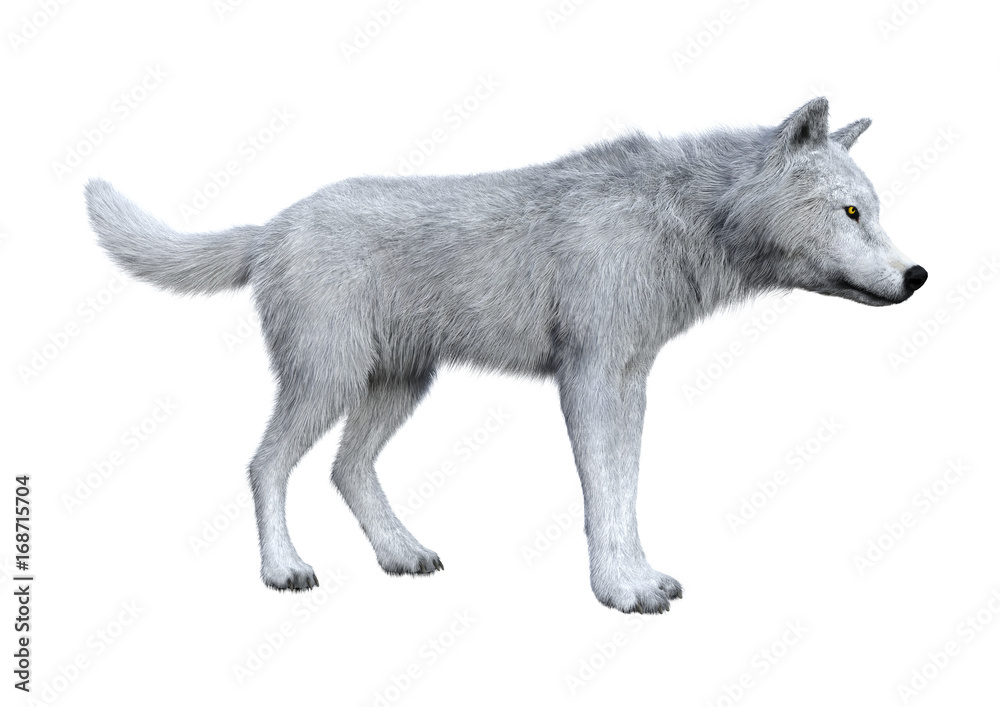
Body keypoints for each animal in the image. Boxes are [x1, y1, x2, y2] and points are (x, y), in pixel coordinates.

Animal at [85, 97, 926, 613]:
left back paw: (402, 554)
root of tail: (270, 226)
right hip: (328, 383)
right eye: (851, 211)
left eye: (874, 211)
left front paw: (640, 577)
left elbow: (625, 491)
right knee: (265, 465)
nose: (917, 275)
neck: (681, 221)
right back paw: (283, 569)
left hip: (398, 386)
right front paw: (619, 591)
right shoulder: (590, 380)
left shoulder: (630, 382)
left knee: (347, 470)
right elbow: (602, 497)